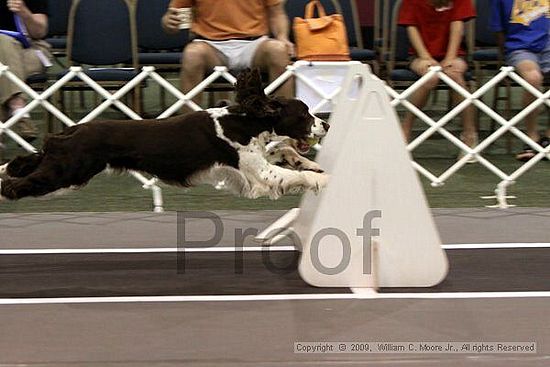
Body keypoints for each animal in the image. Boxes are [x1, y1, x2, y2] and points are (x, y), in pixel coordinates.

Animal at [0, 70, 330, 203]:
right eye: (304, 113)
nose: (326, 125)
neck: (244, 120)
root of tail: (69, 131)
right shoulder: (257, 172)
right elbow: (292, 176)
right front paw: (323, 179)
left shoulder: (252, 162)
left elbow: (282, 150)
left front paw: (308, 163)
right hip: (67, 172)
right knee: (18, 184)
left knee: (18, 166)